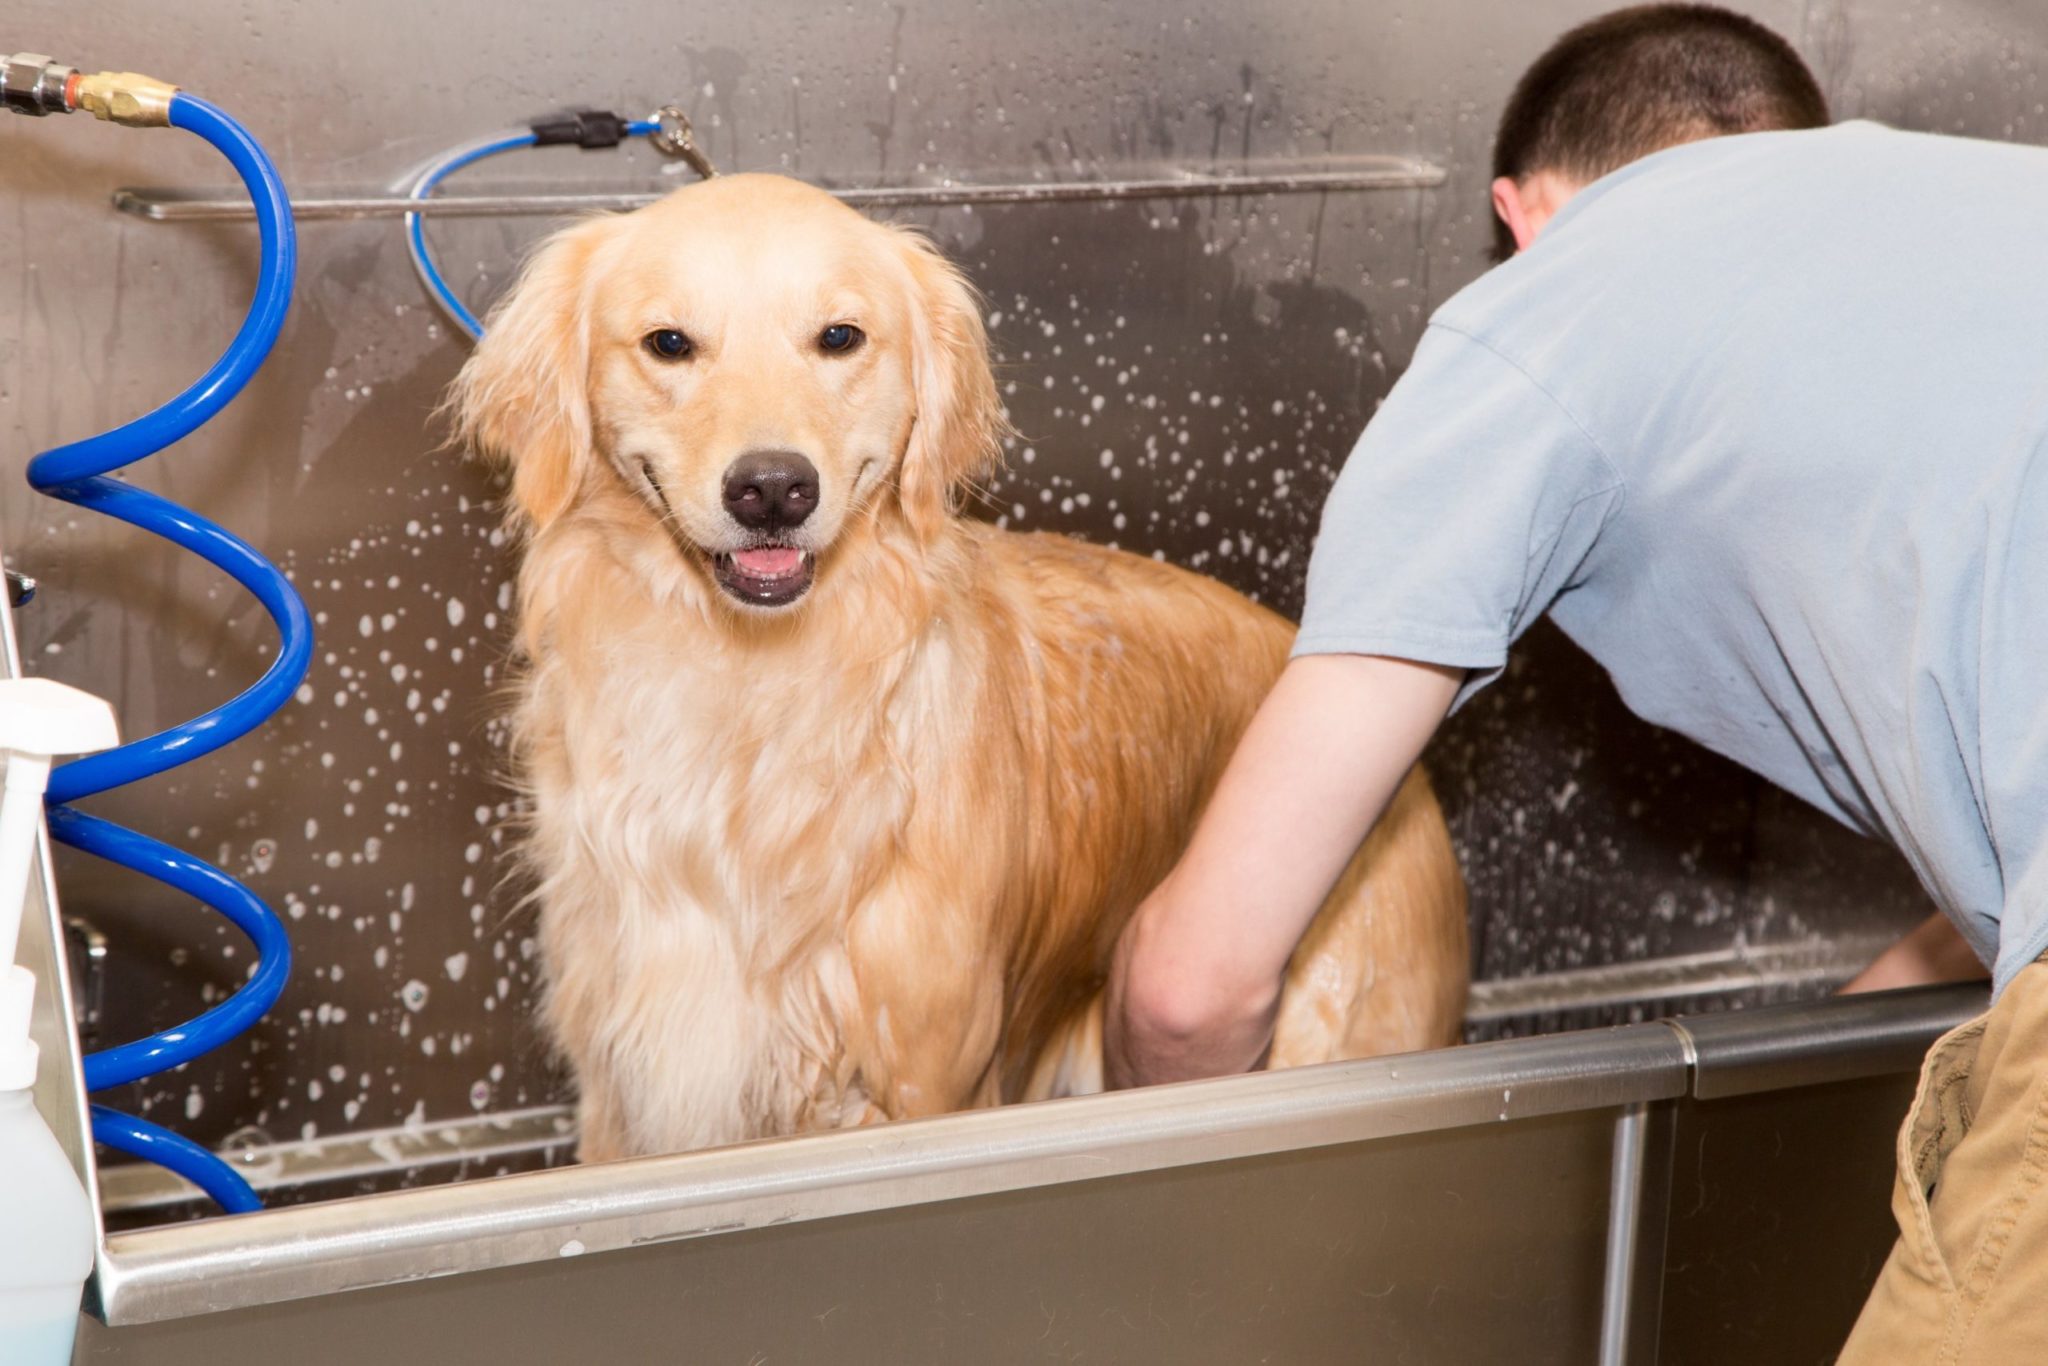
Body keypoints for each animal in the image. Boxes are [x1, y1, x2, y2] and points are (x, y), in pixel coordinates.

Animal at [450, 167, 1474, 1155]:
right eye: (668, 343)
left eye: (839, 336)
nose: (773, 489)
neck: (748, 690)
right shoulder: (621, 1096)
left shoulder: (929, 1083)